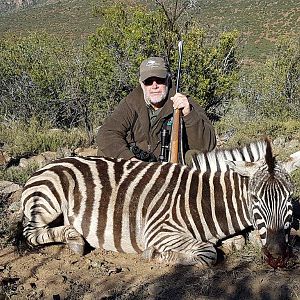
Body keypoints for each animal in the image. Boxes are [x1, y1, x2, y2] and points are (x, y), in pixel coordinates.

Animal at [20, 139, 300, 268]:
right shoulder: (159, 230)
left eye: (289, 198)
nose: (277, 256)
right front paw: (157, 255)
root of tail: (50, 164)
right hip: (48, 200)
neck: (204, 200)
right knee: (31, 233)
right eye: (254, 198)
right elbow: (208, 253)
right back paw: (75, 240)